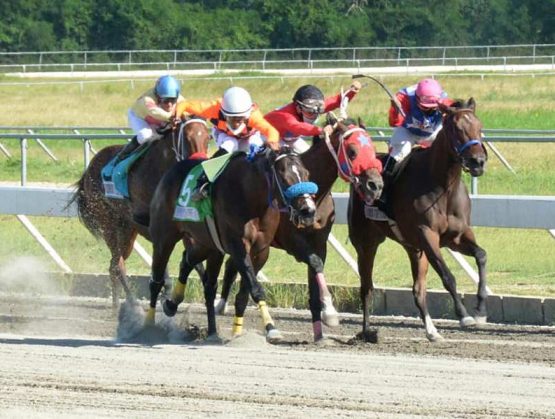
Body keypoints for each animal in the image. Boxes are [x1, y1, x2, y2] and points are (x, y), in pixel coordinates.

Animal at [71, 120, 211, 310]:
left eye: (208, 138)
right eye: (187, 139)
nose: (201, 166)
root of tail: (89, 169)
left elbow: (196, 262)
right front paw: (166, 293)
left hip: (127, 231)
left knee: (114, 265)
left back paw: (116, 304)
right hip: (108, 223)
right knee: (117, 265)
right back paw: (131, 302)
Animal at [150, 149, 320, 342]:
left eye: (306, 174)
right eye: (284, 179)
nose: (308, 211)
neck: (251, 198)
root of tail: (170, 172)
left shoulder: (260, 251)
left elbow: (244, 294)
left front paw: (241, 332)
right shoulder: (237, 246)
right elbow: (256, 288)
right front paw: (271, 327)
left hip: (206, 244)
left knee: (191, 265)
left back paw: (188, 315)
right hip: (164, 239)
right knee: (156, 281)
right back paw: (147, 327)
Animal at [215, 116, 384, 342]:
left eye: (372, 149)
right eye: (352, 151)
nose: (376, 185)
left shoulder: (319, 241)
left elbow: (316, 271)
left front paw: (320, 332)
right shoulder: (292, 241)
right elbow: (314, 262)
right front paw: (330, 313)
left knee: (232, 265)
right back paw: (221, 305)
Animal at [350, 100, 488, 342]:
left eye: (479, 127)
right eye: (456, 129)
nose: (478, 161)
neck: (443, 185)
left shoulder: (457, 236)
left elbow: (481, 255)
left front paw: (480, 309)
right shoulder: (427, 235)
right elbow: (448, 276)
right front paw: (464, 315)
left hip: (414, 249)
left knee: (418, 290)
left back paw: (432, 332)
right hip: (366, 243)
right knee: (366, 287)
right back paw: (367, 332)